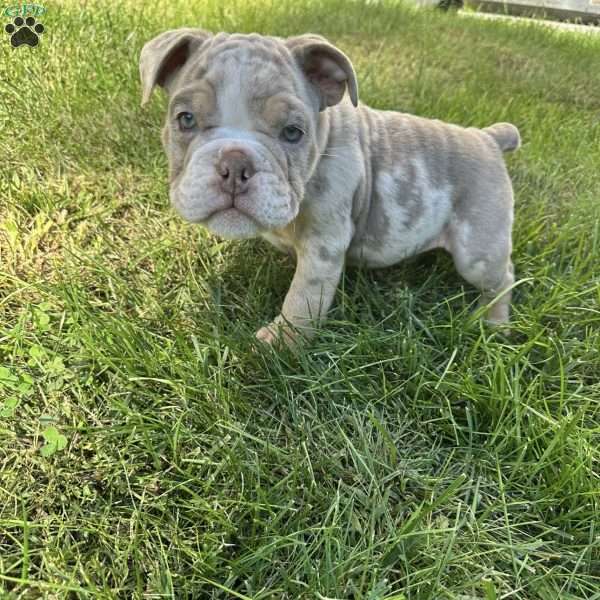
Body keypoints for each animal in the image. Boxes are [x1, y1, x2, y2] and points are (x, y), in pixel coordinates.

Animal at [138, 29, 516, 346]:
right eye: (185, 119)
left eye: (293, 132)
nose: (235, 164)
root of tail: (489, 138)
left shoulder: (323, 246)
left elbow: (302, 300)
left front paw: (279, 344)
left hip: (477, 248)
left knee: (502, 277)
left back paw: (493, 321)